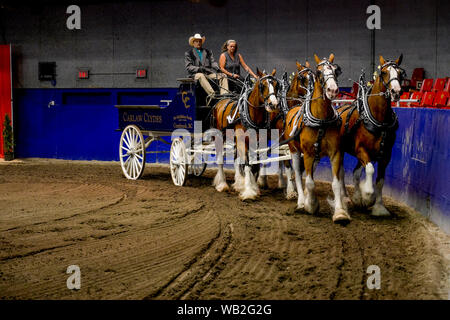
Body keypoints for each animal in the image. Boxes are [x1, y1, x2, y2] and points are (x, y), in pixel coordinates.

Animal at [210, 69, 278, 200]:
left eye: (276, 85)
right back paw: (222, 184)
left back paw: (238, 183)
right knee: (220, 159)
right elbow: (247, 164)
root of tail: (220, 101)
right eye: (263, 86)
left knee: (236, 158)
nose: (273, 104)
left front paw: (254, 187)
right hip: (220, 137)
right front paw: (248, 192)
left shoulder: (259, 142)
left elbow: (255, 165)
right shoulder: (243, 141)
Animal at [284, 53, 350, 222]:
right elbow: (309, 182)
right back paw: (301, 200)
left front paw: (340, 212)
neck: (321, 120)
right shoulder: (307, 153)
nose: (332, 90)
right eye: (319, 72)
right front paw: (311, 205)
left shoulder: (335, 152)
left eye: (336, 70)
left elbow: (335, 183)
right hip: (294, 150)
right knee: (297, 174)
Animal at [338, 55, 404, 216]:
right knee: (341, 172)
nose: (396, 91)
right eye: (384, 72)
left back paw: (356, 197)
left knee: (355, 173)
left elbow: (380, 180)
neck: (380, 121)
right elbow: (369, 170)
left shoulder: (386, 155)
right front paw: (368, 196)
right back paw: (345, 196)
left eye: (400, 72)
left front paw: (379, 207)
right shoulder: (361, 150)